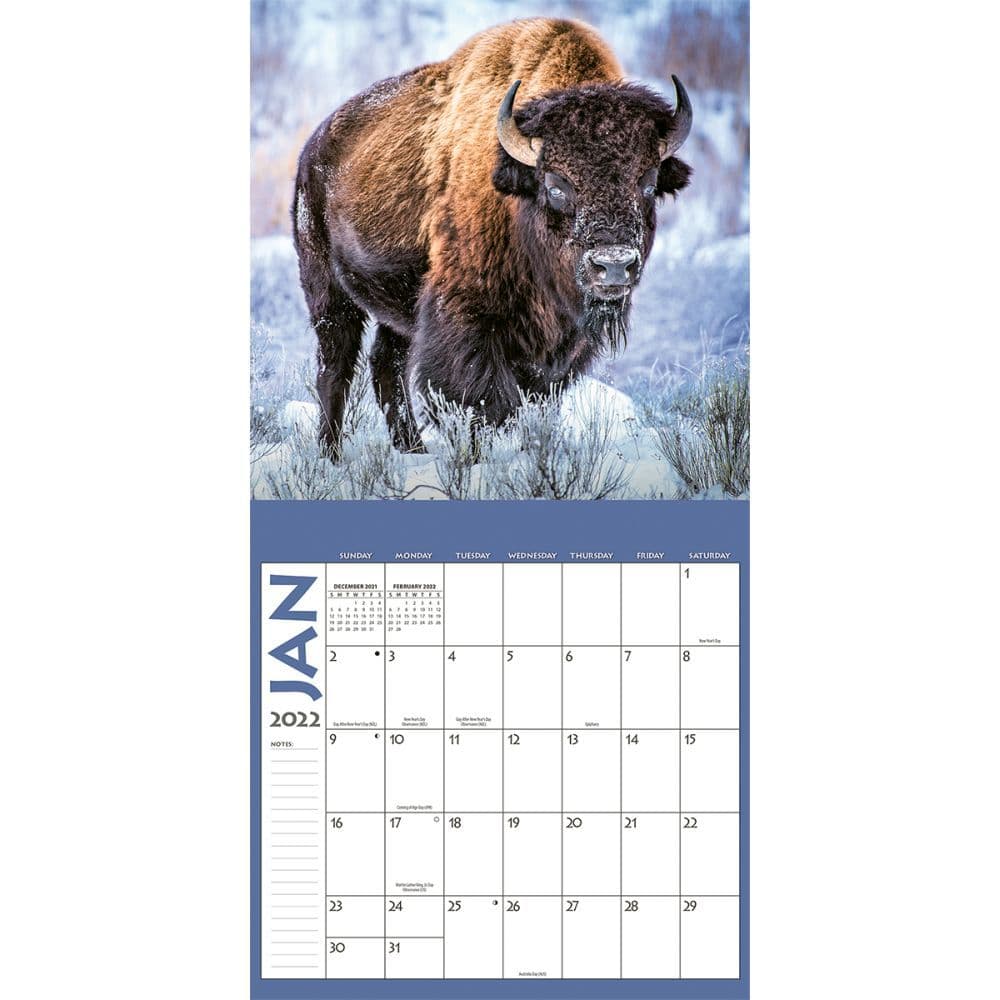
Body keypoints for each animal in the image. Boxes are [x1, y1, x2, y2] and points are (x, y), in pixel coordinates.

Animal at [293, 17, 692, 456]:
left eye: (648, 182)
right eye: (556, 185)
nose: (614, 266)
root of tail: (313, 149)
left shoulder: (563, 346)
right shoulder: (467, 320)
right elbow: (487, 401)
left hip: (397, 307)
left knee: (386, 364)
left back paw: (413, 449)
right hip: (327, 292)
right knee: (335, 368)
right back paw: (331, 454)